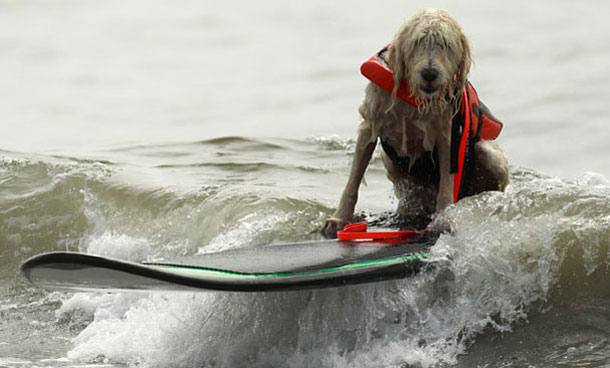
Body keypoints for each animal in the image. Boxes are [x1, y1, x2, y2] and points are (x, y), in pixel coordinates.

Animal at [318, 10, 508, 239]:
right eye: (418, 42)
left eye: (446, 44)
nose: (429, 73)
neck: (412, 96)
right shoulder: (370, 124)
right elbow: (353, 180)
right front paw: (339, 219)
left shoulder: (447, 136)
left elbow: (446, 186)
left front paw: (442, 221)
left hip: (489, 155)